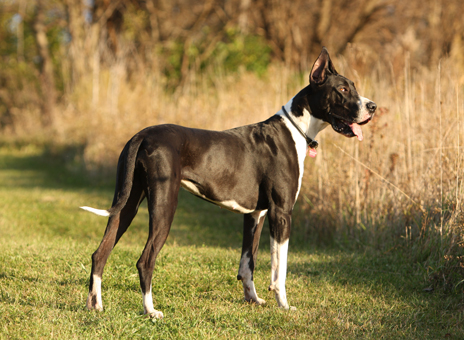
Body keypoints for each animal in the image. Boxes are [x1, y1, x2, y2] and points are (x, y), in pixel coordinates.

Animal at [81, 46, 376, 318]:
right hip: (165, 204)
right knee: (145, 260)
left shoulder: (256, 214)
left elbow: (248, 263)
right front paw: (284, 305)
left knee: (100, 253)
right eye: (342, 89)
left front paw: (253, 300)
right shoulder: (281, 213)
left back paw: (95, 305)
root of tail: (142, 135)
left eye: (353, 87)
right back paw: (150, 310)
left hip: (127, 203)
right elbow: (279, 268)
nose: (373, 106)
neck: (296, 129)